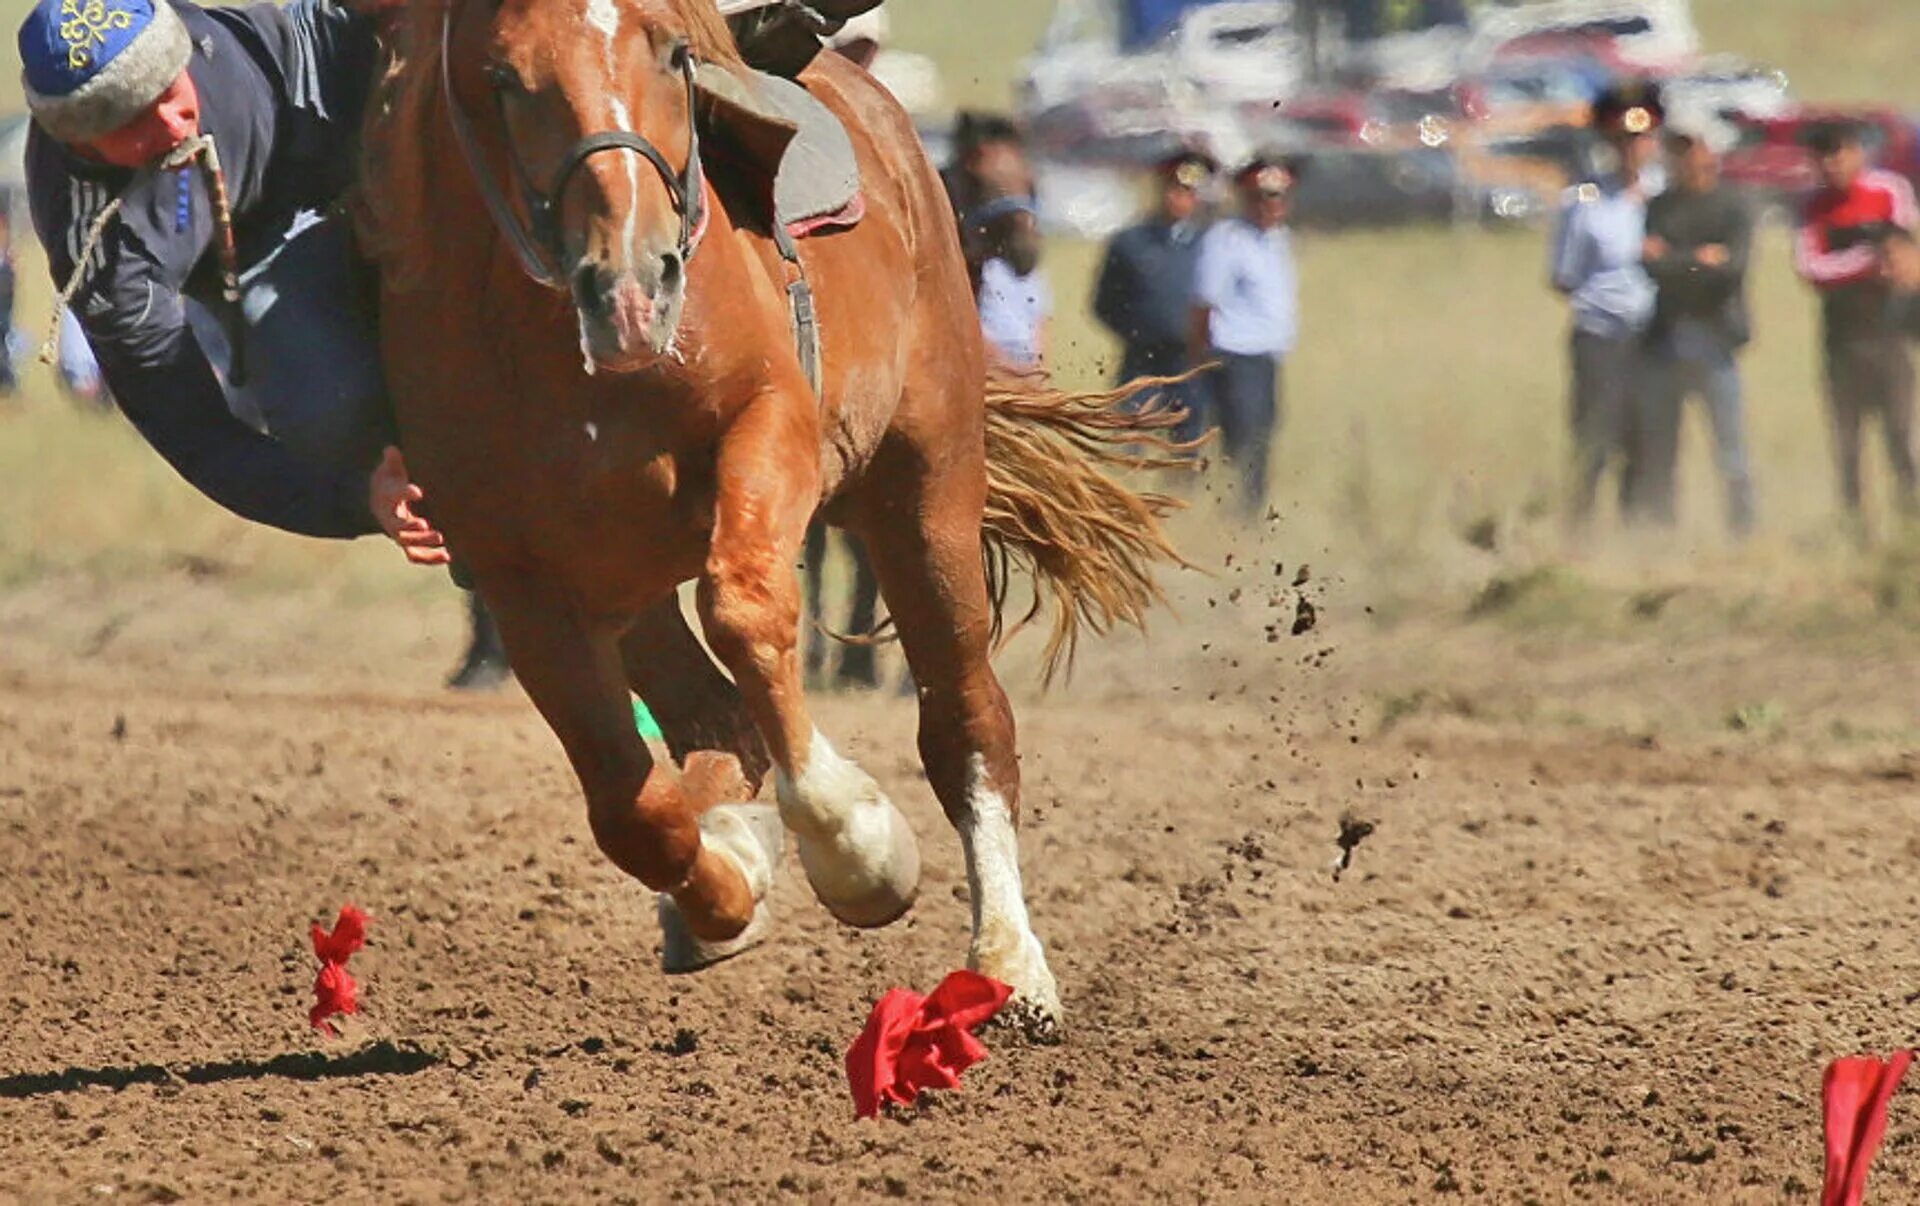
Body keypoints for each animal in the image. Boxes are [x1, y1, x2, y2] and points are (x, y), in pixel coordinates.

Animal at [362, 0, 1182, 1029]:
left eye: (674, 53)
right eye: (504, 79)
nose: (633, 289)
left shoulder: (771, 428)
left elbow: (748, 613)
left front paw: (858, 845)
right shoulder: (524, 577)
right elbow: (631, 808)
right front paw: (732, 879)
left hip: (925, 487)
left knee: (964, 717)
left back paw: (1009, 964)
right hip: (630, 577)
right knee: (712, 718)